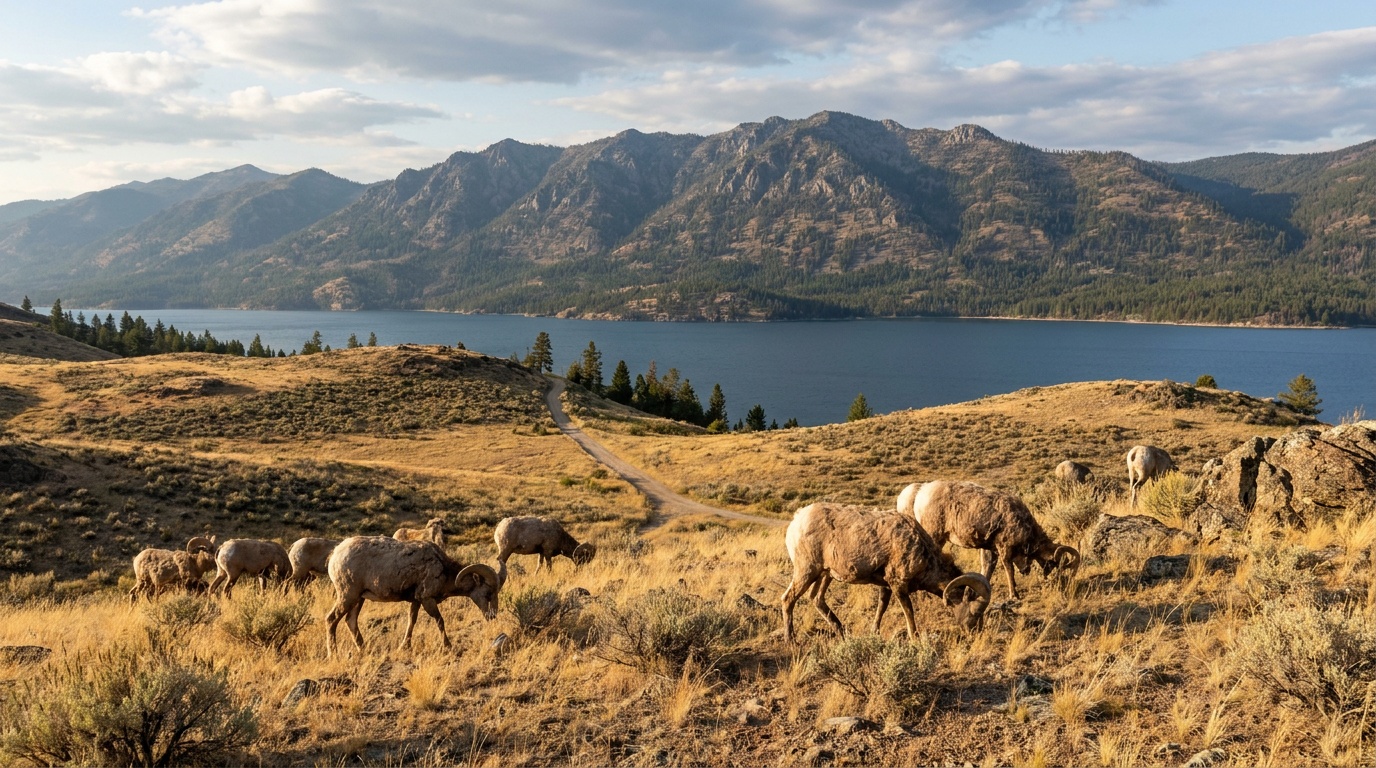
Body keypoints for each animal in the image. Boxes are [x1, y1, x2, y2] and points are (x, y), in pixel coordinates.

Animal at [325, 536, 505, 654]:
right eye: (488, 593)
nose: (492, 616)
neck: (444, 570)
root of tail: (335, 555)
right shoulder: (427, 600)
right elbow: (440, 621)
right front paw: (447, 646)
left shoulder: (416, 601)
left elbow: (412, 621)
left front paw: (405, 646)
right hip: (348, 595)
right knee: (331, 619)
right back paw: (334, 654)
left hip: (358, 599)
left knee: (351, 621)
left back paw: (364, 649)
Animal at [781, 502, 992, 644]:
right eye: (975, 612)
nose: (976, 634)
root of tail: (797, 520)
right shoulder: (898, 585)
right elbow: (909, 611)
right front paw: (915, 638)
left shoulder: (886, 586)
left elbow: (881, 607)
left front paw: (875, 632)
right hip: (806, 572)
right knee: (788, 599)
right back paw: (791, 640)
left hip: (825, 574)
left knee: (816, 598)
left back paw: (842, 632)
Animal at [900, 480, 1080, 600]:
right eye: (1054, 563)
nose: (1057, 582)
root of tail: (920, 492)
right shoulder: (1004, 549)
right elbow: (1009, 569)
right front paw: (1014, 595)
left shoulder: (989, 549)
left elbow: (987, 569)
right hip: (935, 537)